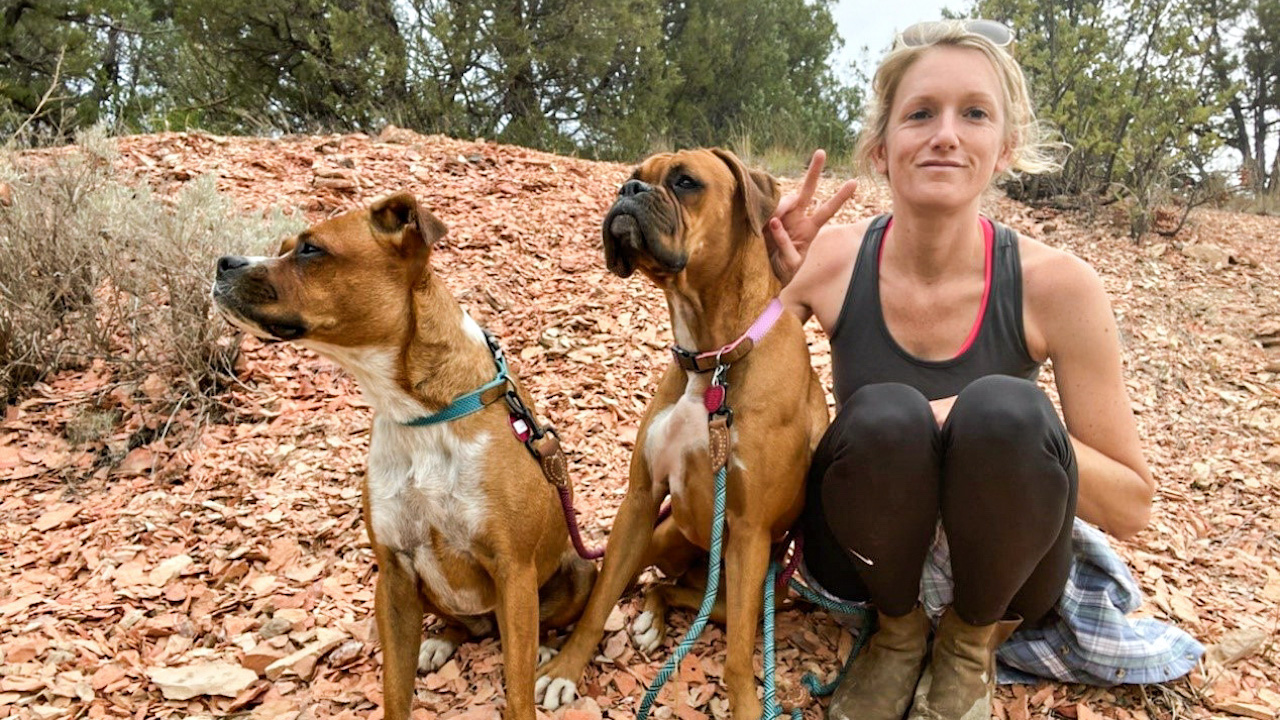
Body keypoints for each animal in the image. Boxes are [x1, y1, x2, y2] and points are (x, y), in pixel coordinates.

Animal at [212, 192, 596, 717]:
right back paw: (441, 640)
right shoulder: (393, 575)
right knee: (464, 625)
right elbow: (395, 688)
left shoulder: (514, 574)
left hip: (576, 572)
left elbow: (517, 691)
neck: (420, 414)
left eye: (311, 249)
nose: (222, 262)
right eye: (285, 246)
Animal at [532, 148, 824, 712]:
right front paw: (566, 667)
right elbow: (598, 602)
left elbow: (737, 656)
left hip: (751, 588)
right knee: (640, 582)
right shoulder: (641, 500)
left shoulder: (750, 533)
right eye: (634, 177)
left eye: (686, 182)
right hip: (658, 537)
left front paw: (747, 708)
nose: (627, 191)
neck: (713, 359)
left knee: (689, 597)